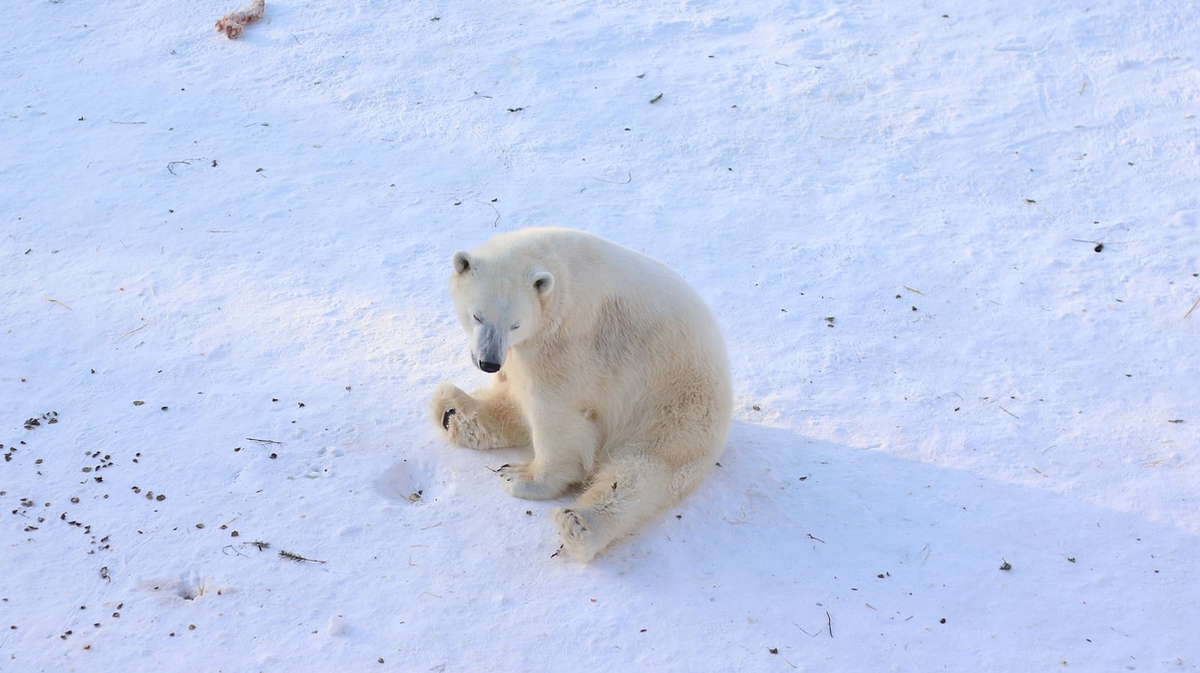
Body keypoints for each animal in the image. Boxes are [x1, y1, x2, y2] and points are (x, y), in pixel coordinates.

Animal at [432, 227, 729, 559]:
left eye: (515, 324)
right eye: (478, 316)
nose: (489, 363)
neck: (561, 278)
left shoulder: (570, 343)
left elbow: (556, 414)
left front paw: (523, 479)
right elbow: (518, 392)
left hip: (674, 411)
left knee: (640, 472)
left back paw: (578, 524)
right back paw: (451, 411)